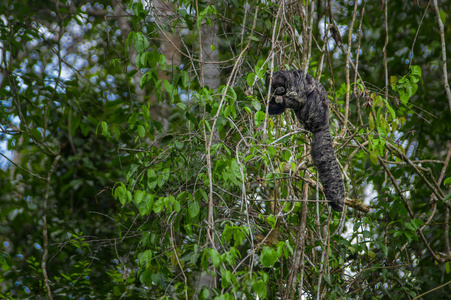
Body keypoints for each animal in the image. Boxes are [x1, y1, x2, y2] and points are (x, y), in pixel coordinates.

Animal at [268, 69, 346, 212]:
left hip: (314, 110)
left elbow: (299, 98)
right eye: (276, 87)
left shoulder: (295, 83)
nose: (280, 90)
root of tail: (323, 124)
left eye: (281, 85)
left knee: (309, 97)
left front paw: (281, 99)